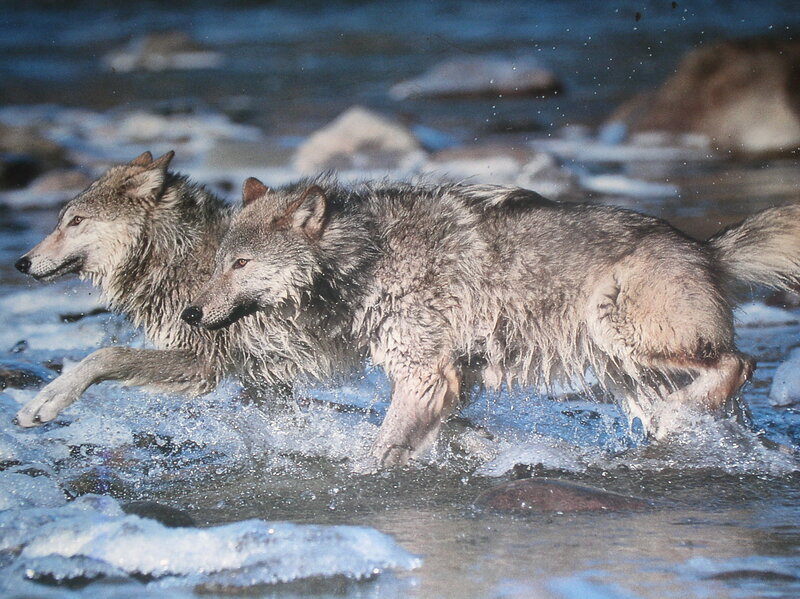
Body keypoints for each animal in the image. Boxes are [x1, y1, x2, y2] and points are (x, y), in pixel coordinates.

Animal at [14, 151, 354, 427]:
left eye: (76, 221)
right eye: (61, 221)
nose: (21, 263)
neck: (177, 256)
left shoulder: (202, 361)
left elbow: (105, 356)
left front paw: (44, 402)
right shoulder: (260, 375)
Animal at [185, 176, 800, 467]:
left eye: (241, 265)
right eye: (217, 264)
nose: (191, 312)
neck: (365, 260)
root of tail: (704, 246)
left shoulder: (426, 374)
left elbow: (382, 448)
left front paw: (360, 479)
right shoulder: (454, 378)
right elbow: (445, 433)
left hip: (623, 332)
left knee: (741, 363)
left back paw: (683, 416)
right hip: (623, 372)